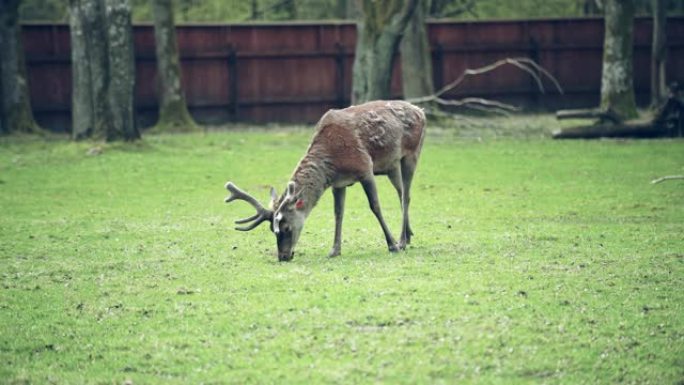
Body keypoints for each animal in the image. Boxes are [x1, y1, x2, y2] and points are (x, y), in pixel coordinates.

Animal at [224, 99, 428, 260]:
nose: (283, 256)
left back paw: (401, 241)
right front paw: (334, 250)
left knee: (406, 196)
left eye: (287, 228)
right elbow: (338, 213)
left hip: (412, 153)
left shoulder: (365, 168)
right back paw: (408, 235)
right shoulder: (339, 183)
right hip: (391, 165)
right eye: (271, 230)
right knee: (402, 193)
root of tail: (421, 111)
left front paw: (391, 244)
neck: (332, 161)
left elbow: (375, 206)